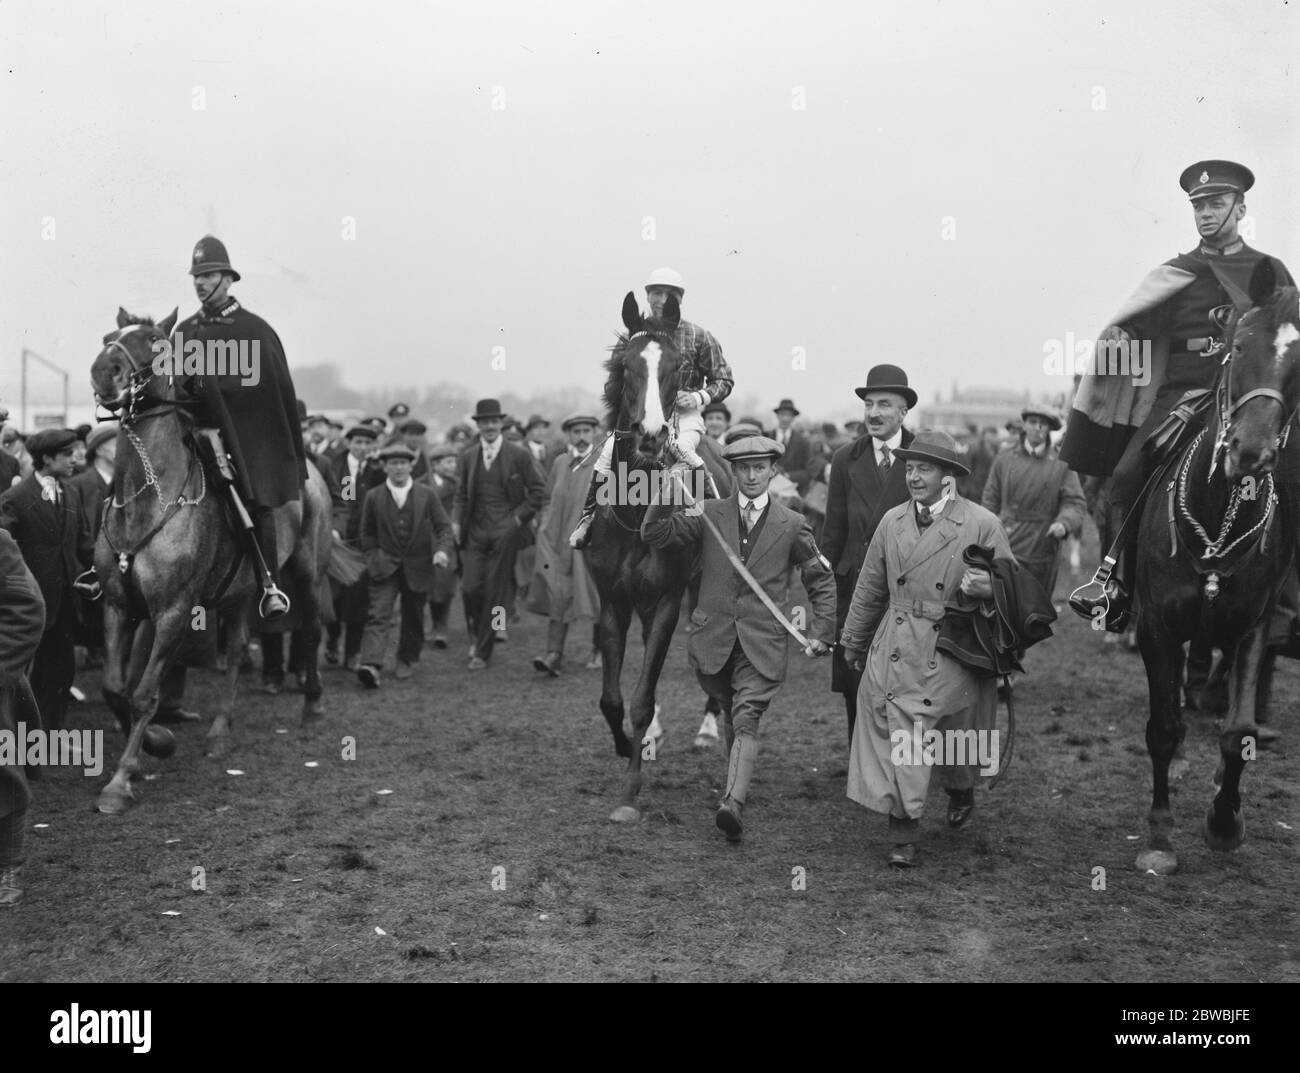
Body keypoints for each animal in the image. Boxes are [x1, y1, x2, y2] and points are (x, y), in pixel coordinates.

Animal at [87, 308, 330, 811]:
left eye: (155, 341)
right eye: (108, 337)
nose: (103, 372)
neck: (147, 500)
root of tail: (311, 470)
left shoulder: (173, 613)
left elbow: (145, 693)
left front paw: (121, 780)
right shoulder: (119, 606)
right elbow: (116, 687)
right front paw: (156, 742)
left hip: (306, 571)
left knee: (311, 630)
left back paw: (313, 706)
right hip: (238, 597)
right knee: (236, 651)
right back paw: (220, 731)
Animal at [1138, 260, 1300, 868]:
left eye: (1298, 365)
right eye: (1238, 346)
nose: (1250, 452)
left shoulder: (1251, 626)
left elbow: (1238, 732)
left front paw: (1225, 821)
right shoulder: (1155, 625)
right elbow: (1162, 726)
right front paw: (1160, 832)